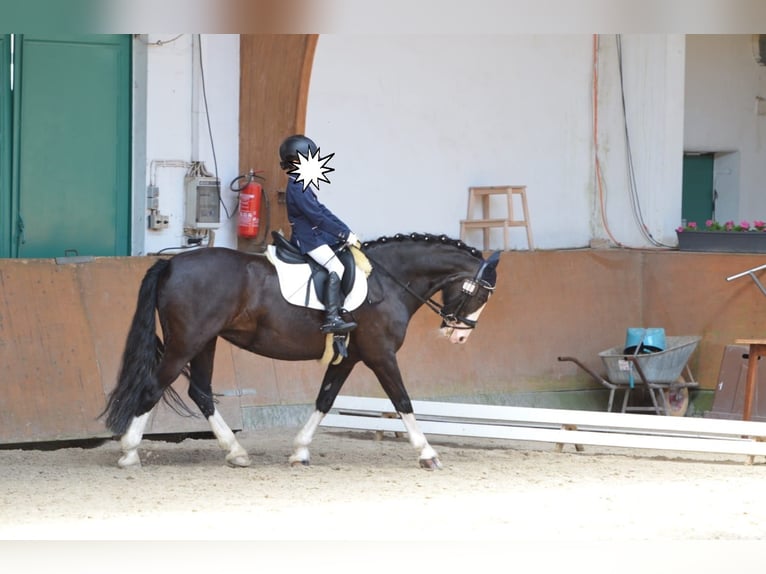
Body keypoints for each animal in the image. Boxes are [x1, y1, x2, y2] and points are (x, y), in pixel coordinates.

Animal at [106, 232, 504, 470]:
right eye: (483, 294)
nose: (459, 337)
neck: (387, 280)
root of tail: (172, 262)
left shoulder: (350, 357)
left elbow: (324, 400)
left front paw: (299, 451)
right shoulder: (381, 355)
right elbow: (403, 401)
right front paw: (428, 453)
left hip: (205, 341)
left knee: (201, 392)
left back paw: (237, 453)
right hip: (187, 341)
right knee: (154, 387)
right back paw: (129, 452)